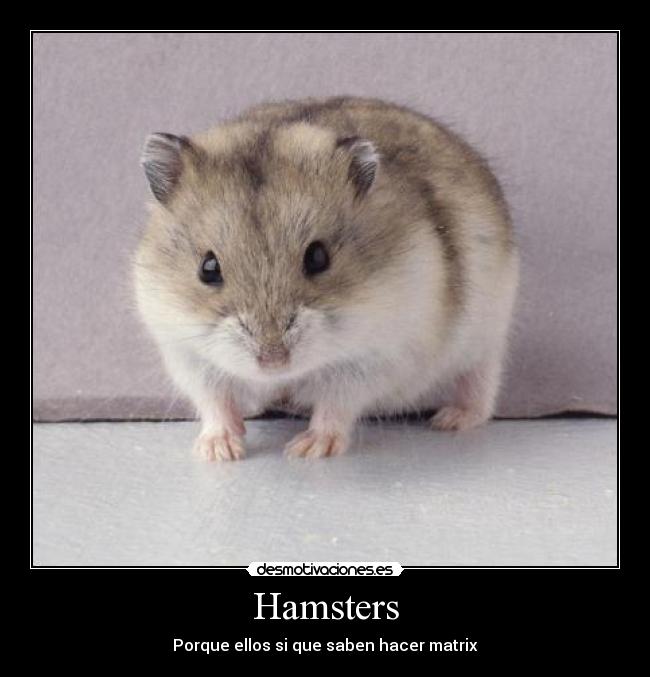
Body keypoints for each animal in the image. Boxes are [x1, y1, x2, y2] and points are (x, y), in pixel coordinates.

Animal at [134, 97, 519, 461]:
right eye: (208, 268)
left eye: (318, 258)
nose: (273, 361)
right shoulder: (187, 357)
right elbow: (215, 404)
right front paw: (219, 452)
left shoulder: (370, 360)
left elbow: (335, 406)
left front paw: (307, 450)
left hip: (487, 335)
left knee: (481, 381)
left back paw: (451, 420)